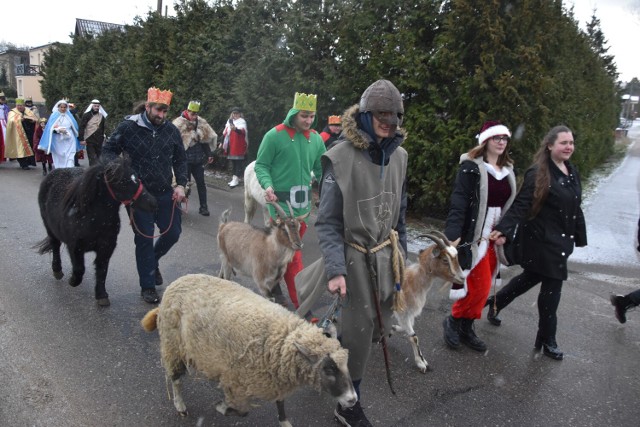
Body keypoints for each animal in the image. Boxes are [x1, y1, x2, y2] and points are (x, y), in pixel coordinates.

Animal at [37, 159, 158, 306]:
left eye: (137, 178)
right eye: (122, 182)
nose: (153, 203)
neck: (92, 217)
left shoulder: (106, 246)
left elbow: (102, 269)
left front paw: (101, 295)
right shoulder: (75, 246)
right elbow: (79, 268)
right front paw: (73, 281)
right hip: (49, 227)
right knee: (55, 245)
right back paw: (57, 270)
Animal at [140, 276, 358, 426]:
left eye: (346, 365)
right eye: (328, 369)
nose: (353, 400)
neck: (281, 338)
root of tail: (177, 282)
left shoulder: (276, 378)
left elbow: (280, 403)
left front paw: (284, 422)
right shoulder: (237, 380)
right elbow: (242, 411)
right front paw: (222, 407)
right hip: (173, 345)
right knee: (175, 379)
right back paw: (180, 405)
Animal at [390, 231, 464, 374]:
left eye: (457, 257)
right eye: (445, 260)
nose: (462, 278)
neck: (412, 281)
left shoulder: (408, 314)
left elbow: (406, 329)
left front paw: (392, 329)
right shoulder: (403, 311)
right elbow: (414, 336)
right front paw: (421, 363)